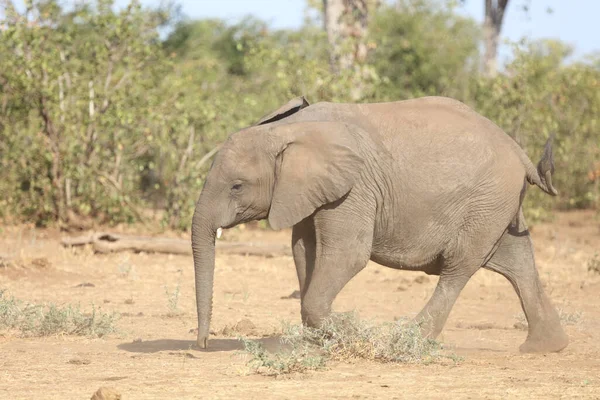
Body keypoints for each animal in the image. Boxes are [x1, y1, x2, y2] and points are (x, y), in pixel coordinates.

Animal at [191, 94, 568, 354]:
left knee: (459, 267)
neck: (288, 130)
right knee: (517, 259)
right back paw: (545, 347)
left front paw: (347, 330)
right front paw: (319, 339)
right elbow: (302, 251)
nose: (202, 345)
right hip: (497, 204)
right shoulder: (309, 190)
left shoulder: (354, 188)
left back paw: (410, 339)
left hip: (486, 201)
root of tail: (519, 151)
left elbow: (348, 255)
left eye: (237, 186)